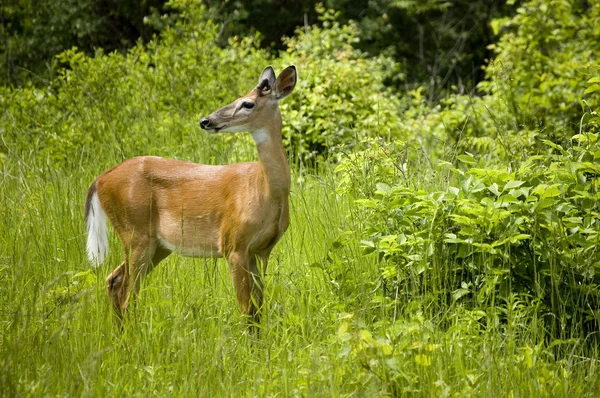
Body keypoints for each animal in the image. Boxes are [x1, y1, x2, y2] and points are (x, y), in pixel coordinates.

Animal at [85, 65, 298, 324]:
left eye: (247, 103)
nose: (206, 121)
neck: (265, 191)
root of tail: (100, 179)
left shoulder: (262, 251)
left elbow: (257, 311)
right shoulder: (233, 245)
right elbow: (246, 309)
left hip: (157, 244)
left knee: (113, 281)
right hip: (134, 231)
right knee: (127, 297)